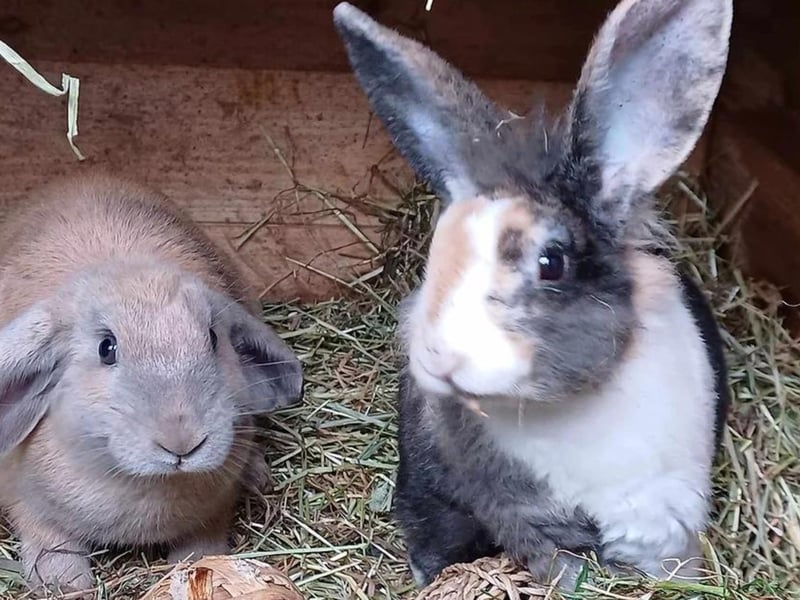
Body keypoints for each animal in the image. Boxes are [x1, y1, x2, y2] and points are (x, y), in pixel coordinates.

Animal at [0, 173, 303, 594]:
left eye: (213, 338)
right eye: (106, 348)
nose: (183, 442)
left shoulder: (214, 511)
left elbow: (202, 543)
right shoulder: (25, 502)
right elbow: (49, 539)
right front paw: (67, 584)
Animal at [334, 0, 732, 589]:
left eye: (552, 262)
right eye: (438, 254)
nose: (440, 356)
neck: (559, 410)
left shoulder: (662, 515)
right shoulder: (520, 518)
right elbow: (550, 561)